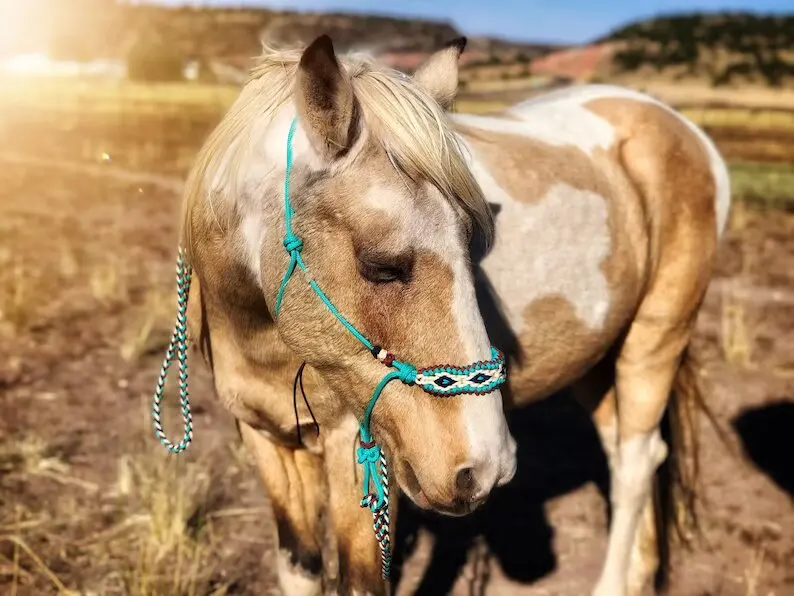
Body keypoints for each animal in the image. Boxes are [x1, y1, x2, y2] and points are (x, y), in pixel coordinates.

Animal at [169, 34, 730, 596]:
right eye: (382, 265)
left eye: (472, 241)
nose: (486, 468)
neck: (263, 338)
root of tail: (687, 133)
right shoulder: (266, 440)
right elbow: (298, 568)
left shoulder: (359, 449)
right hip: (594, 360)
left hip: (655, 338)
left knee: (636, 462)